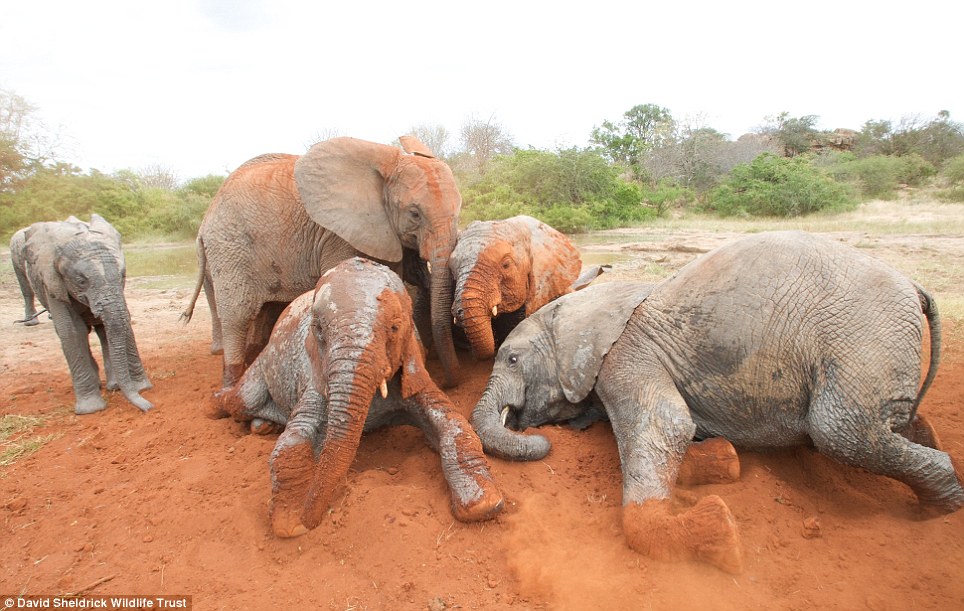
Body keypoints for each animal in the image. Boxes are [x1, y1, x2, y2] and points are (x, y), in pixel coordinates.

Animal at [22, 213, 153, 414]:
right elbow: (71, 332)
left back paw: (114, 386)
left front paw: (142, 388)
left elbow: (123, 320)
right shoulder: (52, 282)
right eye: (81, 281)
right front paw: (90, 410)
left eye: (122, 275)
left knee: (103, 331)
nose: (149, 407)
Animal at [185, 137, 466, 390]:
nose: (447, 383)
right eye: (414, 214)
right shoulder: (339, 234)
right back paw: (230, 387)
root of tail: (207, 217)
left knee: (267, 311)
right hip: (231, 247)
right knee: (238, 315)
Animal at [218, 258, 504, 540]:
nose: (311, 519)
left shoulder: (412, 366)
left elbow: (453, 422)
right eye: (318, 329)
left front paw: (484, 505)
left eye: (394, 327)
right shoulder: (314, 374)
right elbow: (293, 439)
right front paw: (291, 523)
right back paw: (229, 407)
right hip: (264, 364)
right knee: (240, 402)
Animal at [470, 232, 960, 576]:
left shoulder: (627, 352)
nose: (539, 438)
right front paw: (722, 460)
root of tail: (915, 285)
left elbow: (666, 424)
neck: (586, 304)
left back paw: (939, 511)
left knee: (839, 432)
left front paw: (721, 536)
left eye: (512, 359)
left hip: (863, 337)